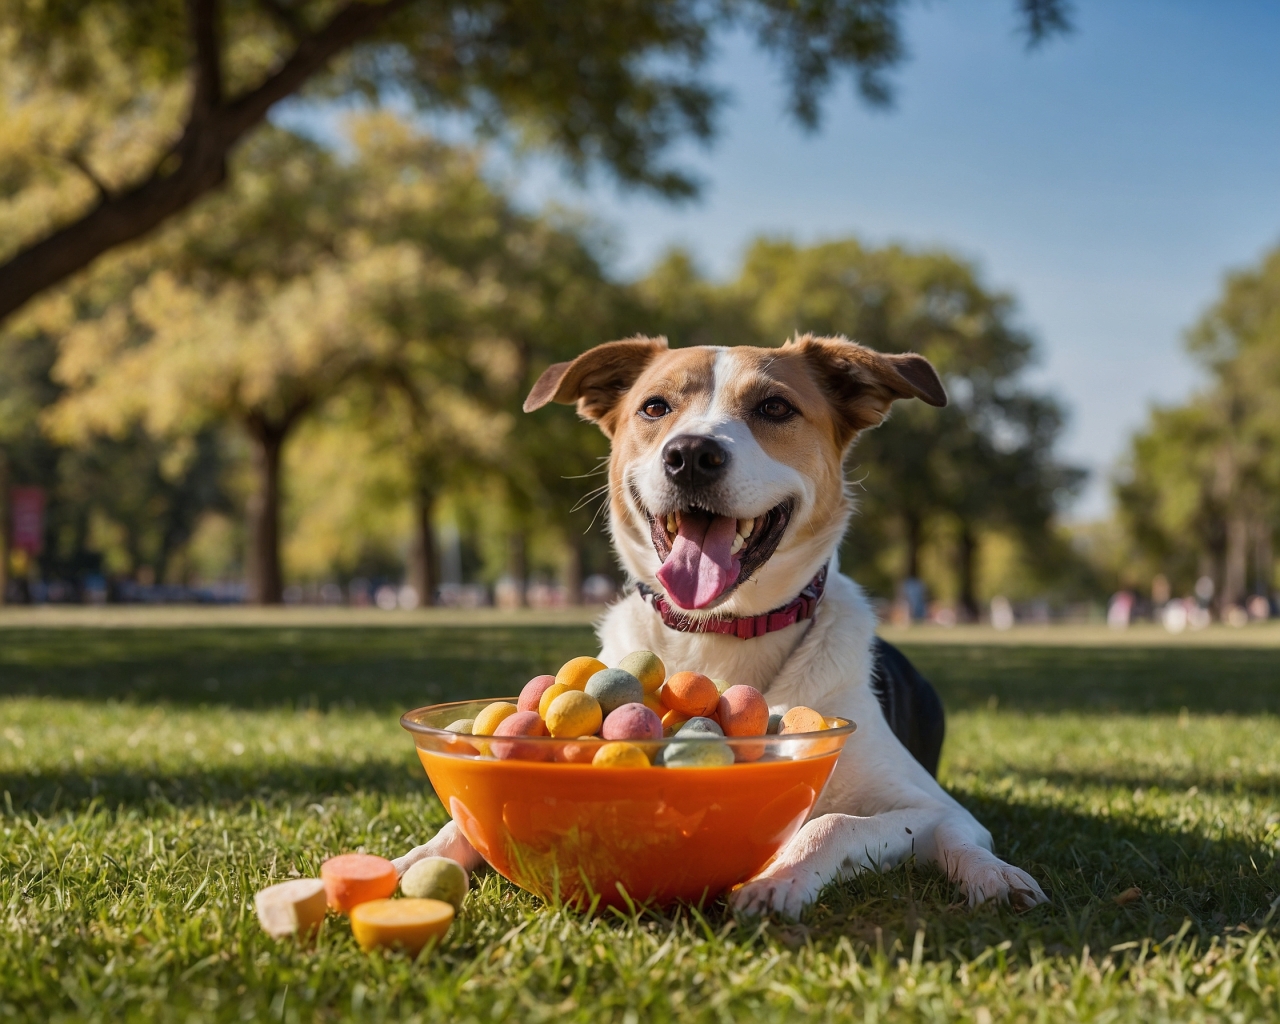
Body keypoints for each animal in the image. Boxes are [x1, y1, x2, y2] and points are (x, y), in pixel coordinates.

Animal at [399, 337, 1049, 921]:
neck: (716, 632)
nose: (690, 454)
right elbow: (459, 817)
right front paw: (417, 858)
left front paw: (779, 876)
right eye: (654, 407)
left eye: (775, 408)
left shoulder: (939, 809)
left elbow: (838, 821)